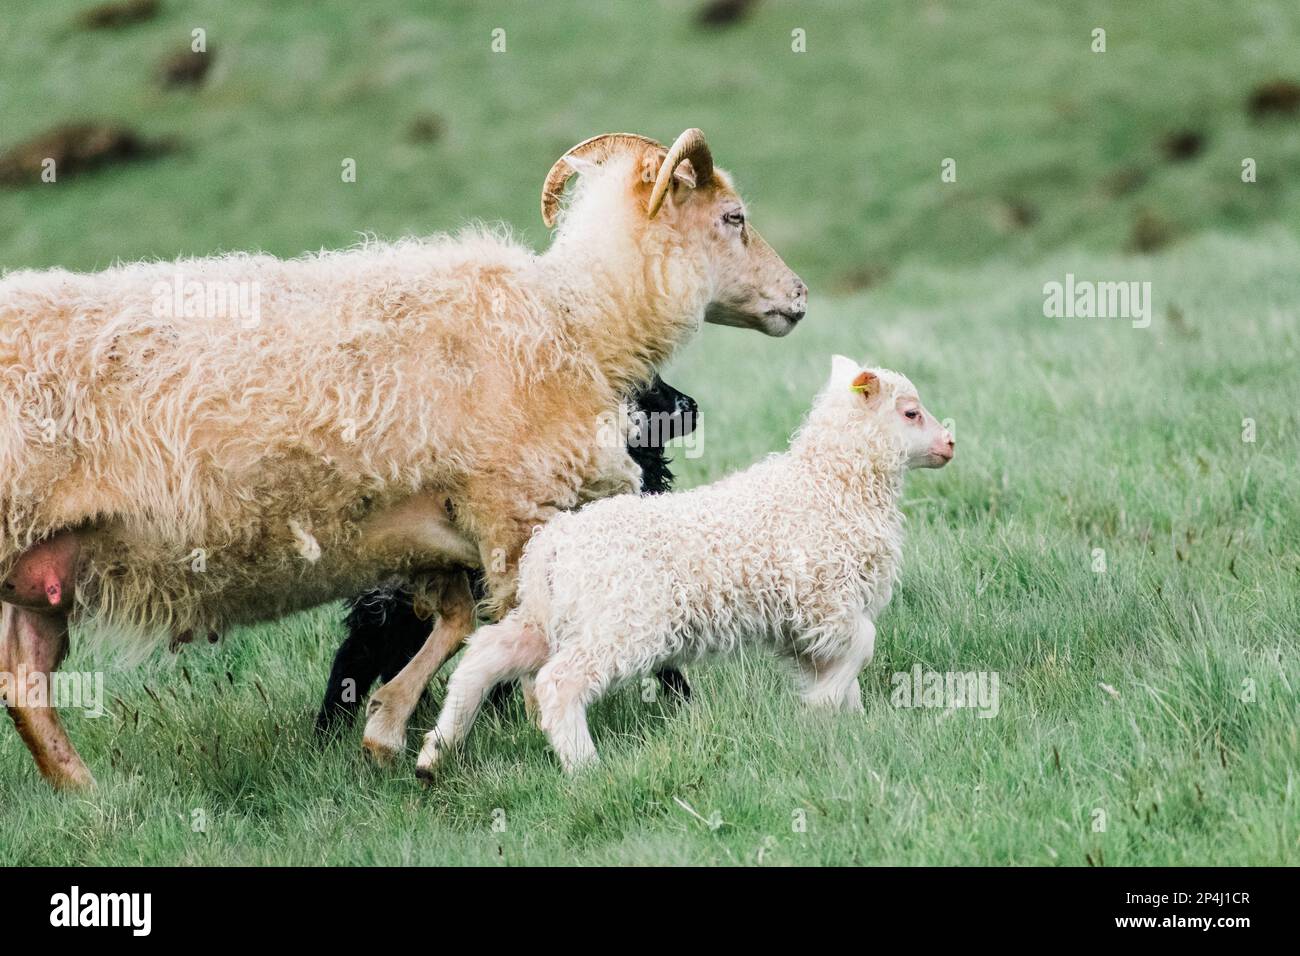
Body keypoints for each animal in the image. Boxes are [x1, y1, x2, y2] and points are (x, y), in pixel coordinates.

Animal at [416, 356, 956, 775]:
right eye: (910, 412)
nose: (950, 444)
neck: (831, 485)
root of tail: (555, 543)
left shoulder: (809, 622)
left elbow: (843, 665)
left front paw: (845, 721)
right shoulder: (827, 600)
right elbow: (864, 644)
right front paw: (821, 709)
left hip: (549, 617)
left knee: (485, 656)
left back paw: (435, 754)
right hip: (619, 622)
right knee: (558, 682)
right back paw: (584, 767)